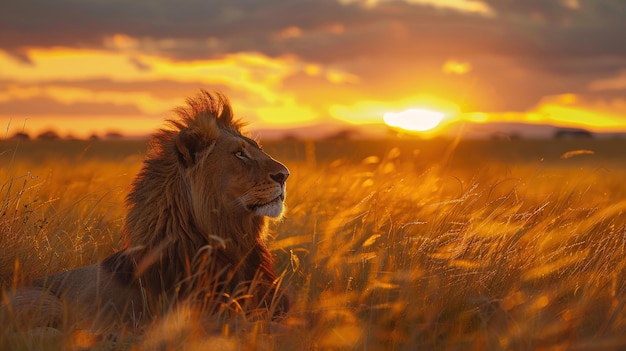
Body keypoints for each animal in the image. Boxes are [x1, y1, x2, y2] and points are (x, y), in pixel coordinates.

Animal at [1, 90, 290, 332]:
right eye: (239, 154)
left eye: (258, 149)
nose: (285, 174)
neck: (234, 241)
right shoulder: (203, 317)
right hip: (47, 305)